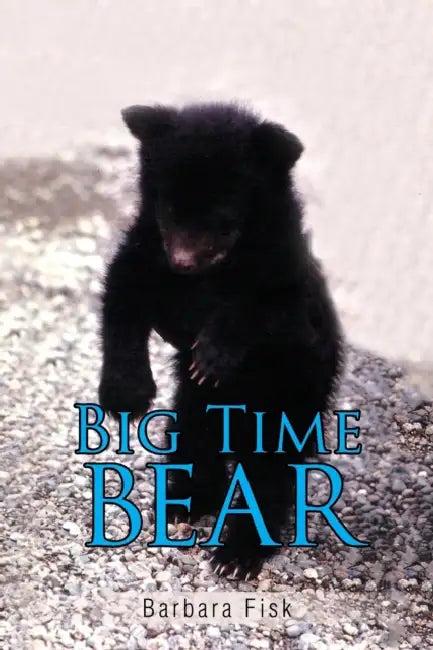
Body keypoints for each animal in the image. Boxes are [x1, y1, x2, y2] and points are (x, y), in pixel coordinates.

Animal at [99, 102, 343, 578]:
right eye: (168, 209)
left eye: (224, 221)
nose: (182, 261)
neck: (212, 274)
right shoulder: (144, 254)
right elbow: (122, 302)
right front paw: (125, 393)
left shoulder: (287, 282)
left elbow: (261, 310)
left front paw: (213, 355)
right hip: (195, 407)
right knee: (196, 441)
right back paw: (186, 501)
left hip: (290, 401)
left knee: (269, 475)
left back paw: (238, 555)